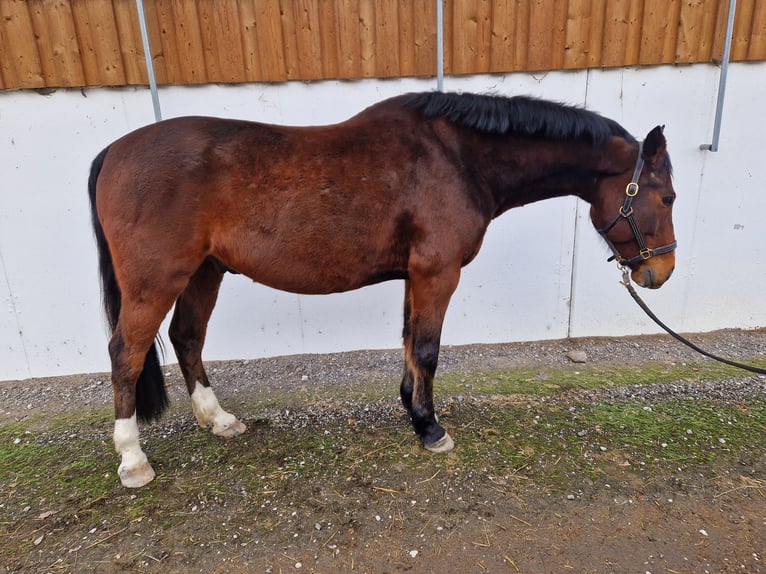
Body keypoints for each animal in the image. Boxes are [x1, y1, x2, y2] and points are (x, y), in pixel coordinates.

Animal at [88, 91, 677, 488]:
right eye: (667, 196)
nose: (661, 273)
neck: (457, 156)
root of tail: (114, 151)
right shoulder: (438, 273)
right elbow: (428, 349)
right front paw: (431, 429)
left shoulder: (416, 275)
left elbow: (409, 343)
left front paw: (412, 410)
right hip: (155, 281)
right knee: (126, 353)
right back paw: (133, 460)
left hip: (204, 272)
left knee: (187, 339)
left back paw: (219, 420)